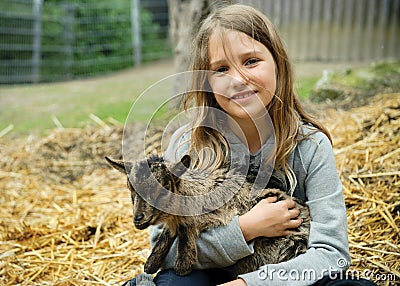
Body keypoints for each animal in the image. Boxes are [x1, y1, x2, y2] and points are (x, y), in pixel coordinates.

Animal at [105, 155, 310, 276]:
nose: (138, 218)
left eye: (163, 190)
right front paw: (151, 263)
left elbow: (186, 229)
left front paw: (182, 264)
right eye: (131, 190)